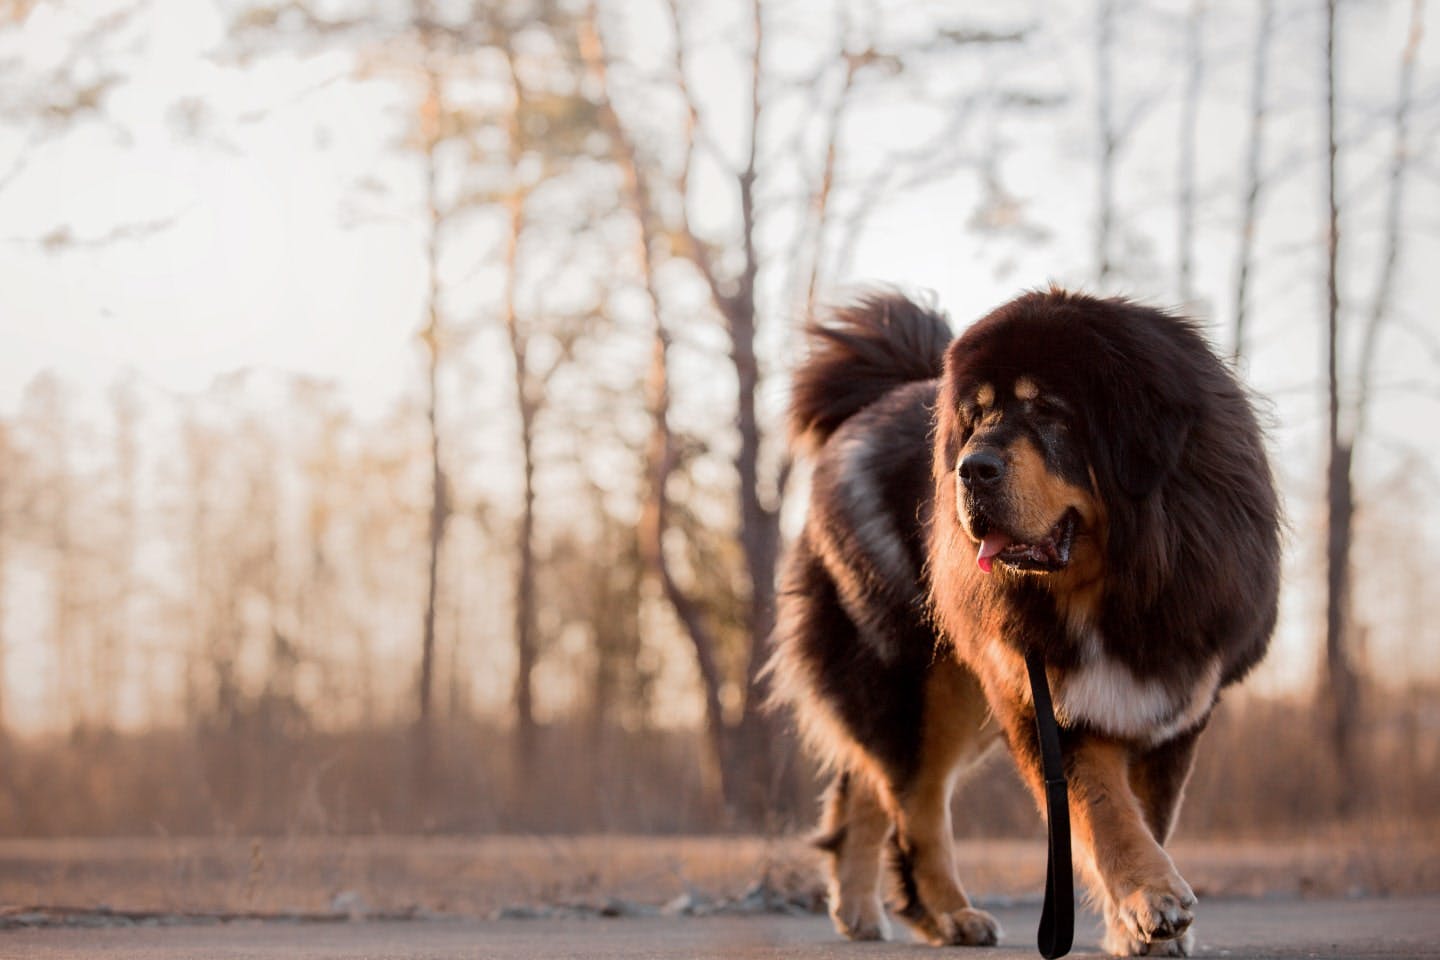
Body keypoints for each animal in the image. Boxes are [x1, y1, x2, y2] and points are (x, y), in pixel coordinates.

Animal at [771, 290, 1278, 955]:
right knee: (915, 804)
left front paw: (1137, 929)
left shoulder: (1175, 706)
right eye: (978, 415)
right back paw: (951, 915)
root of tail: (872, 404)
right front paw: (1153, 900)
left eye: (1049, 410)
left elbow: (1148, 815)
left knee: (870, 785)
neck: (1115, 588)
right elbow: (1106, 811)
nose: (970, 468)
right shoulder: (1049, 701)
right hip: (922, 679)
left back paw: (863, 910)